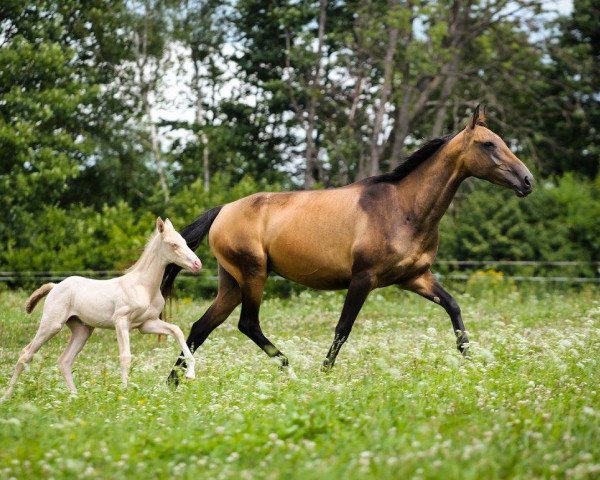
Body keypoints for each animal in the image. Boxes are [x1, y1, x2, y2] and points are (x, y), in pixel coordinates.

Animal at [1, 216, 203, 400]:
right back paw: (7, 396)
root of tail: (55, 286)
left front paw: (191, 374)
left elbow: (176, 330)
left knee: (64, 361)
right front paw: (124, 393)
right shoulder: (121, 321)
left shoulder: (147, 324)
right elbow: (125, 356)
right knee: (26, 353)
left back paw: (75, 397)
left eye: (185, 242)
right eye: (173, 244)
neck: (144, 286)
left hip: (82, 330)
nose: (197, 264)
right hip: (52, 324)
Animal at [161, 107, 536, 384]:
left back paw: (173, 382)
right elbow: (343, 328)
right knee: (247, 324)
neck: (403, 208)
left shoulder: (415, 278)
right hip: (253, 275)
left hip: (232, 282)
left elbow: (454, 308)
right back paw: (289, 367)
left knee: (201, 327)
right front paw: (325, 373)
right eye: (489, 145)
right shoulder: (363, 278)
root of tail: (223, 210)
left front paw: (471, 362)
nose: (528, 181)